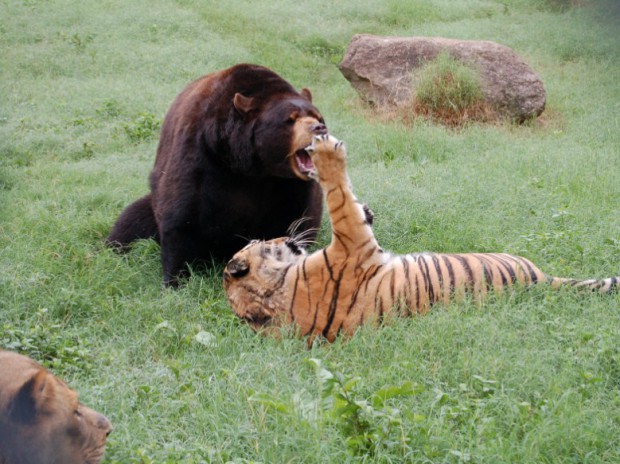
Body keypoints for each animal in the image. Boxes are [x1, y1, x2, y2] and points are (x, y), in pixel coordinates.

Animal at [108, 63, 326, 284]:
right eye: (291, 119)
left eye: (317, 116)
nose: (320, 128)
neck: (249, 164)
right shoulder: (200, 154)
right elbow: (181, 215)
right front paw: (175, 278)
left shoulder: (289, 185)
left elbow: (293, 218)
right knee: (130, 222)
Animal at [224, 132, 620, 342]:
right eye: (261, 242)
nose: (281, 236)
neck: (278, 293)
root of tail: (542, 280)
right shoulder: (351, 240)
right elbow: (339, 197)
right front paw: (325, 152)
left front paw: (367, 207)